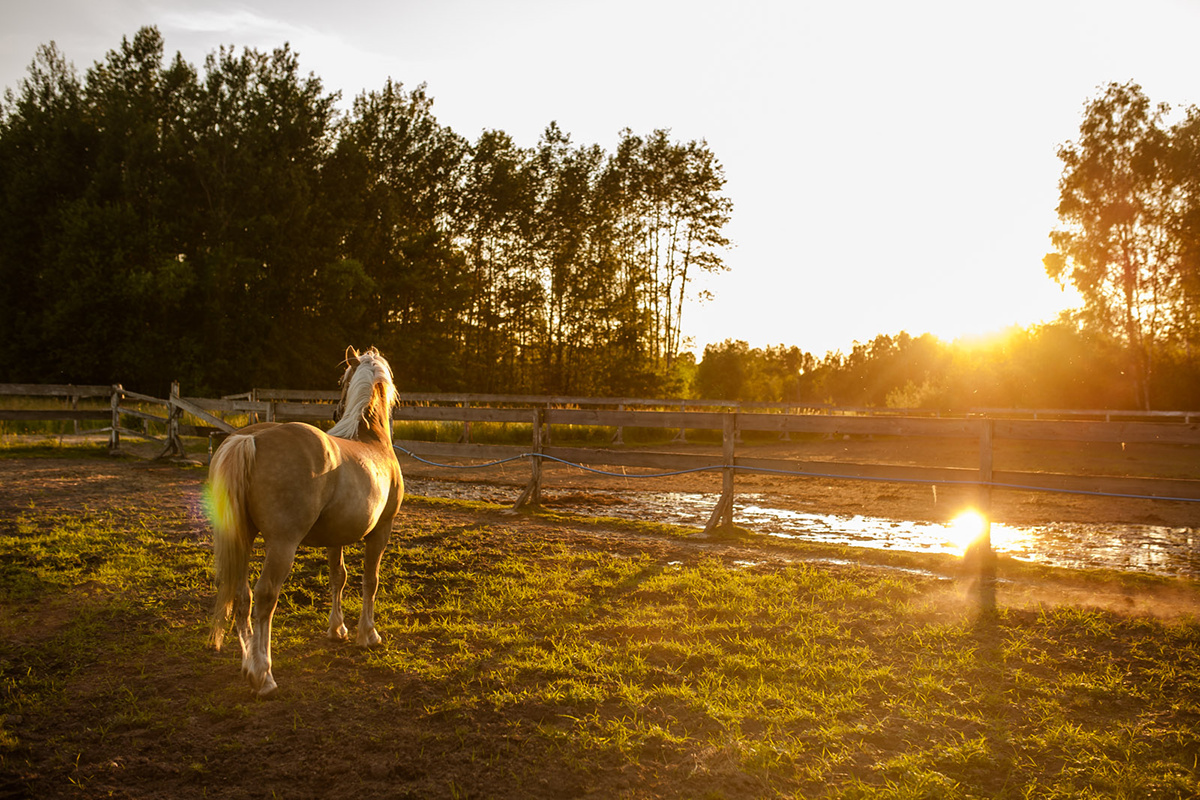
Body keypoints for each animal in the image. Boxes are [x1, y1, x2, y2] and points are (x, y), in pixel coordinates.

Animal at [208, 347, 405, 695]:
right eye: (341, 380)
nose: (335, 410)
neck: (370, 437)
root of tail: (249, 438)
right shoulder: (381, 531)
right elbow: (371, 580)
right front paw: (368, 634)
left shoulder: (335, 538)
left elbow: (338, 577)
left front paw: (337, 629)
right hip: (282, 544)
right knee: (264, 596)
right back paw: (263, 674)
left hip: (242, 538)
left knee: (242, 596)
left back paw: (247, 665)